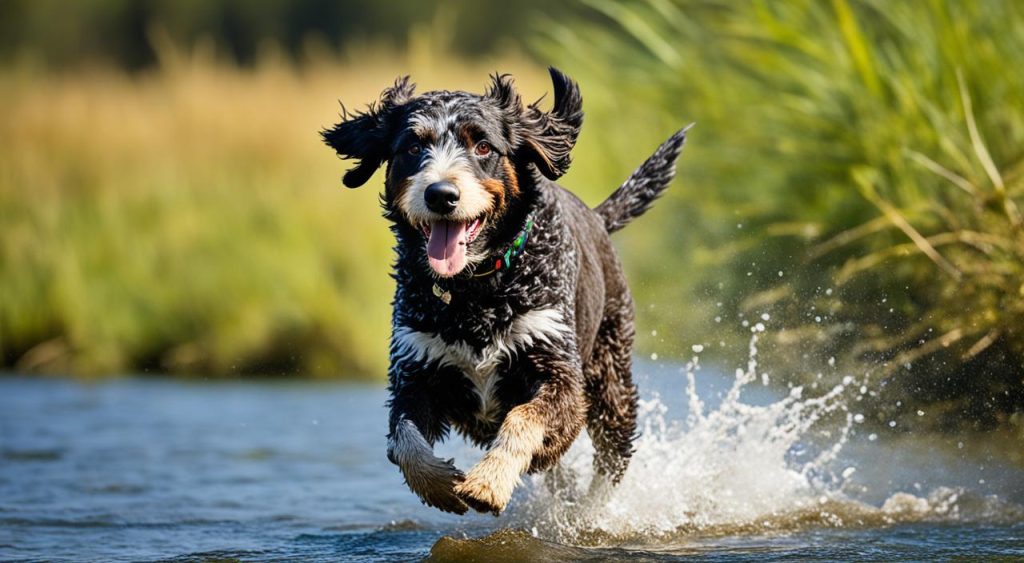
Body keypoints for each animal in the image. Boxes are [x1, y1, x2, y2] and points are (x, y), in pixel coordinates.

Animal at [319, 68, 688, 517]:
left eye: (482, 146)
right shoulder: (416, 370)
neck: (476, 291)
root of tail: (598, 219)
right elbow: (405, 441)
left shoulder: (559, 373)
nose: (441, 194)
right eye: (412, 146)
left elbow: (523, 419)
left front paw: (488, 482)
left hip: (611, 377)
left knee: (612, 459)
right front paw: (441, 484)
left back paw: (588, 511)